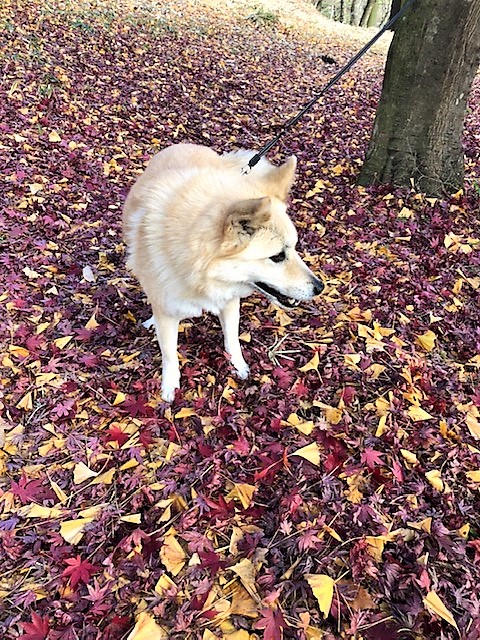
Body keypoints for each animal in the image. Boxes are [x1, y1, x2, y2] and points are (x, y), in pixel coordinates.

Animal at [122, 145, 324, 400]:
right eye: (278, 256)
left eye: (295, 247)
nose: (320, 287)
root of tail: (185, 145)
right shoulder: (167, 314)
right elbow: (169, 354)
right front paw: (170, 385)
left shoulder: (229, 300)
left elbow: (232, 338)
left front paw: (238, 365)